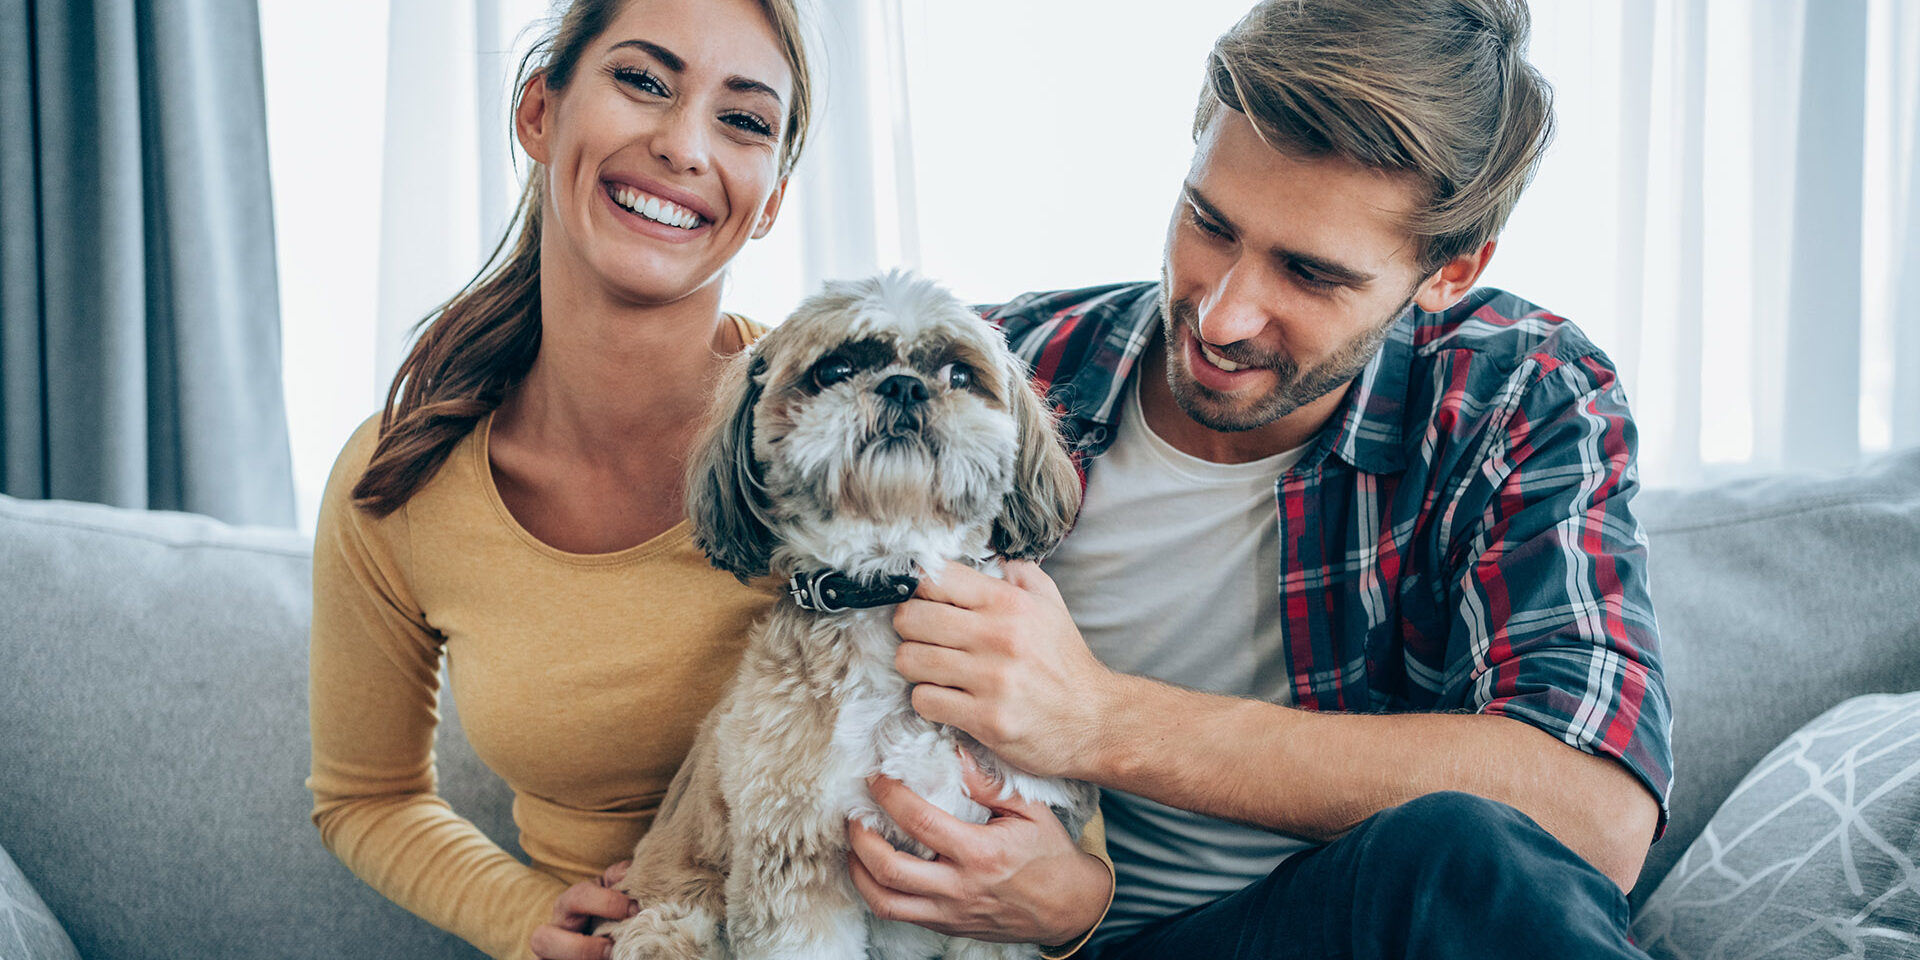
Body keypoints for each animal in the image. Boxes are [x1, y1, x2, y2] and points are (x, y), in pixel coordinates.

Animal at [606, 270, 1105, 960]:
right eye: (834, 369)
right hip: (674, 928)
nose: (903, 385)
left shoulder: (1000, 886)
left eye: (958, 373)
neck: (883, 587)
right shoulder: (793, 861)